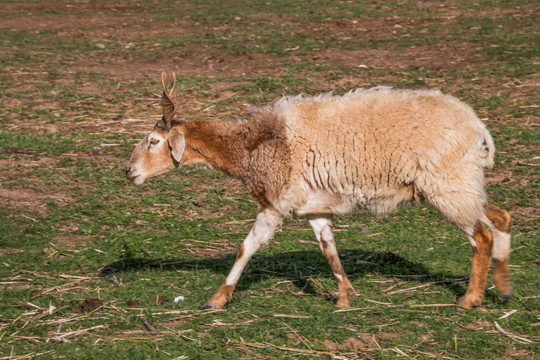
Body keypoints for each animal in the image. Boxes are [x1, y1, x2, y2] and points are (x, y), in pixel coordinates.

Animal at [124, 72, 512, 310]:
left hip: (447, 185)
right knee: (500, 217)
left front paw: (217, 299)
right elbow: (329, 249)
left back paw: (470, 299)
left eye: (154, 141)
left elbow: (246, 247)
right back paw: (504, 288)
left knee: (481, 236)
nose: (129, 172)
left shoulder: (276, 203)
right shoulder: (313, 207)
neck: (252, 146)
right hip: (463, 183)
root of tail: (479, 129)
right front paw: (345, 296)